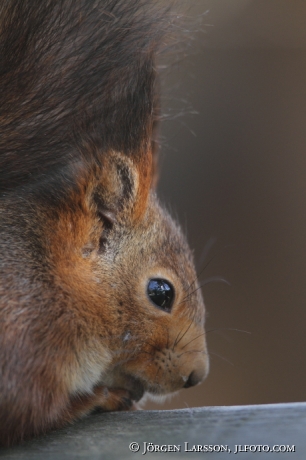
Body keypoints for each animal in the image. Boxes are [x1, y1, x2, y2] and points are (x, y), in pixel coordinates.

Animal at [0, 0, 208, 446]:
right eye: (161, 292)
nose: (196, 375)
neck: (53, 277)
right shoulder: (23, 341)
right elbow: (29, 411)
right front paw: (104, 395)